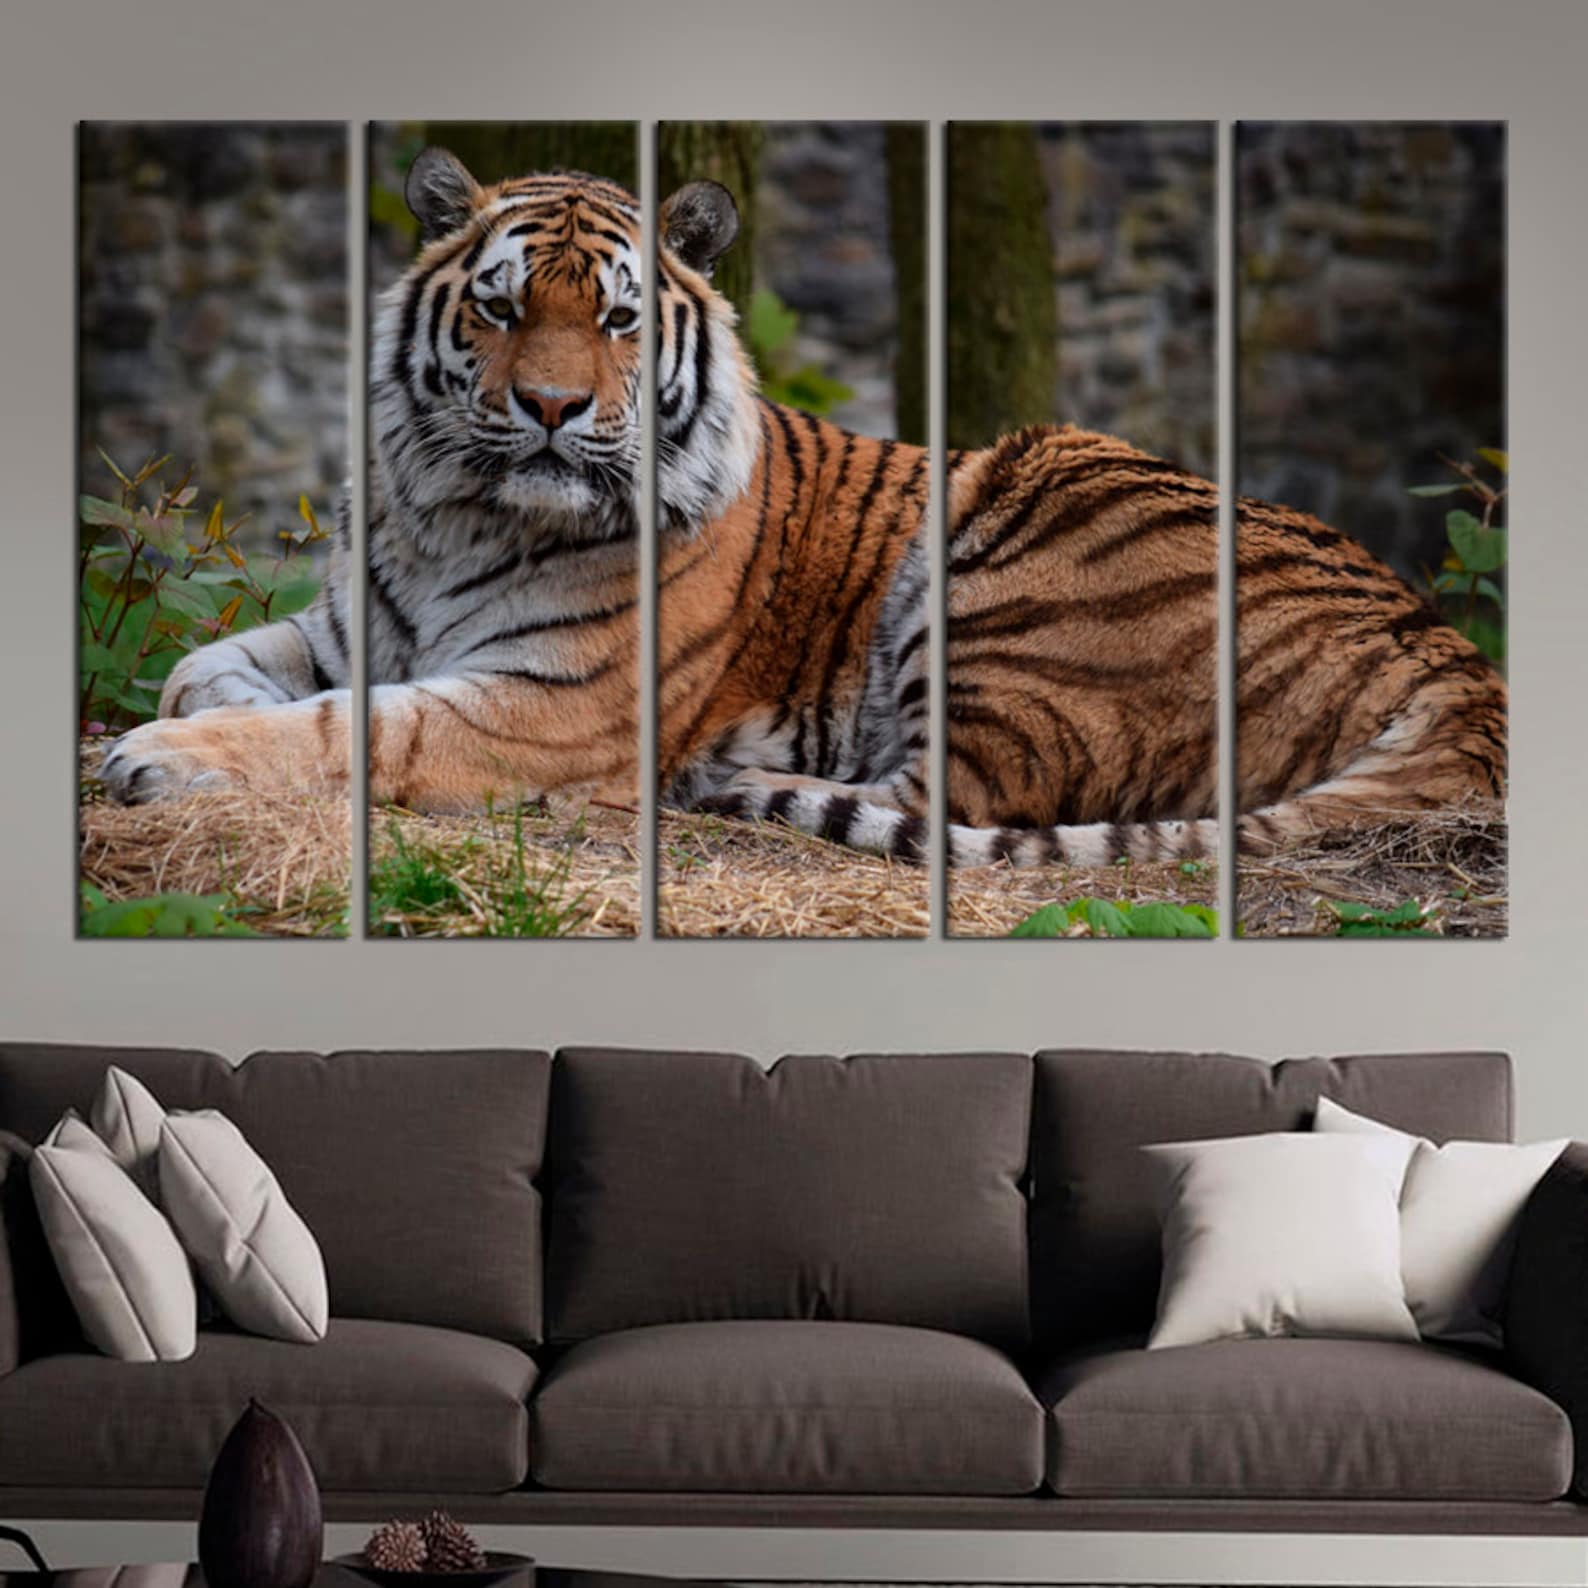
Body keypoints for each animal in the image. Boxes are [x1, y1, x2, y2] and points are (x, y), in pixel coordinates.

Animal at [101, 148, 1507, 875]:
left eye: (617, 318)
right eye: (499, 308)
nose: (552, 407)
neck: (465, 510)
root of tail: (1451, 655)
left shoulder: (551, 708)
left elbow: (355, 728)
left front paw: (155, 761)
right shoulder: (348, 627)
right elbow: (205, 666)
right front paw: (192, 714)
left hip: (1022, 542)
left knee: (957, 799)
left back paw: (724, 781)